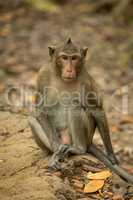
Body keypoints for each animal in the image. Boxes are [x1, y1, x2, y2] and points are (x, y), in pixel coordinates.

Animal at [28, 38, 133, 184]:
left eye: (74, 58)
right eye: (64, 58)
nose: (69, 70)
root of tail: (89, 142)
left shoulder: (86, 81)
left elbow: (97, 110)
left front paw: (111, 155)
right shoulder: (42, 75)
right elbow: (39, 110)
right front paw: (56, 149)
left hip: (86, 135)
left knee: (75, 106)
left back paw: (78, 149)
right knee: (32, 118)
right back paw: (54, 153)